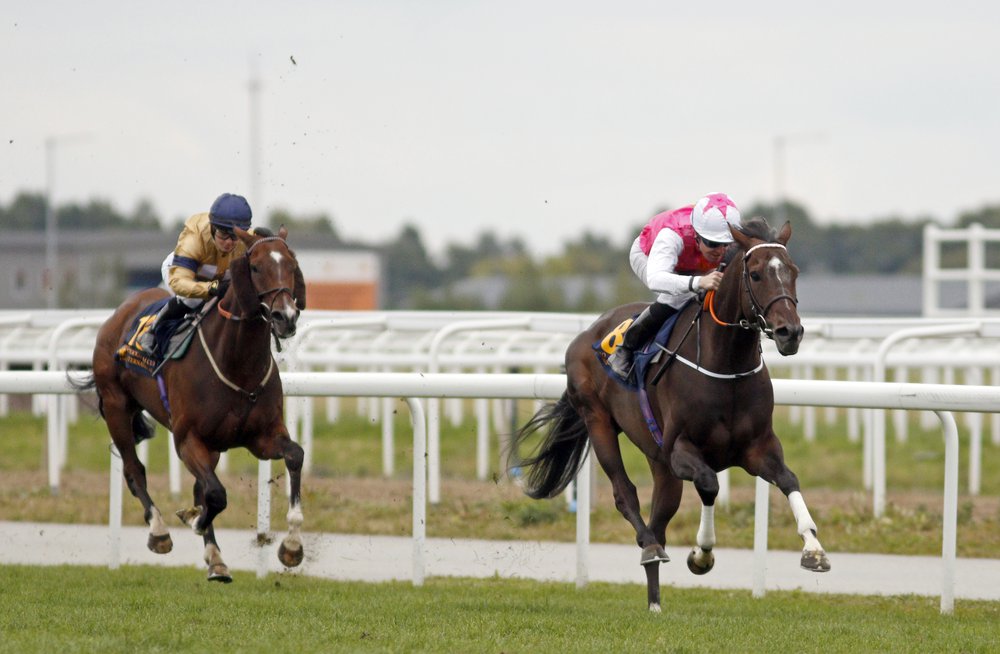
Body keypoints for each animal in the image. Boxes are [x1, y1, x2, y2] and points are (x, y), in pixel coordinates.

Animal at [73, 227, 306, 584]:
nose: (286, 317)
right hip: (116, 407)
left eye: (292, 266)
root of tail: (121, 311)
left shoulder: (261, 437)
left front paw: (292, 546)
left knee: (197, 484)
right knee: (134, 469)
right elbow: (216, 494)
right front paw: (193, 520)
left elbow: (294, 455)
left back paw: (216, 559)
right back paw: (159, 531)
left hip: (211, 444)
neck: (237, 363)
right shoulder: (187, 440)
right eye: (255, 267)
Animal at [508, 218, 828, 612]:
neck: (727, 365)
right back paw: (649, 548)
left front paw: (813, 549)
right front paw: (702, 555)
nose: (790, 333)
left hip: (659, 461)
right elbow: (709, 484)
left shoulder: (757, 448)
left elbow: (788, 479)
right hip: (598, 421)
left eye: (793, 272)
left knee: (660, 515)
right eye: (755, 274)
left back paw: (655, 602)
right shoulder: (681, 450)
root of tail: (586, 334)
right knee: (625, 494)